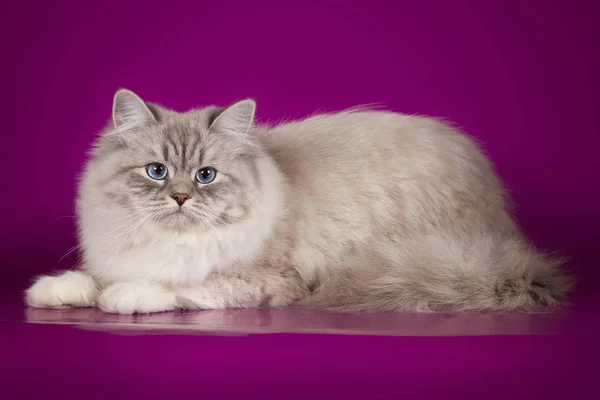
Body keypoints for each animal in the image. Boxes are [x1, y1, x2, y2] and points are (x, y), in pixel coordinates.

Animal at [24, 89, 572, 314]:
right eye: (156, 172)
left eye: (205, 176)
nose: (180, 198)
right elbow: (90, 278)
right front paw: (56, 291)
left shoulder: (268, 278)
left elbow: (183, 287)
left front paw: (126, 296)